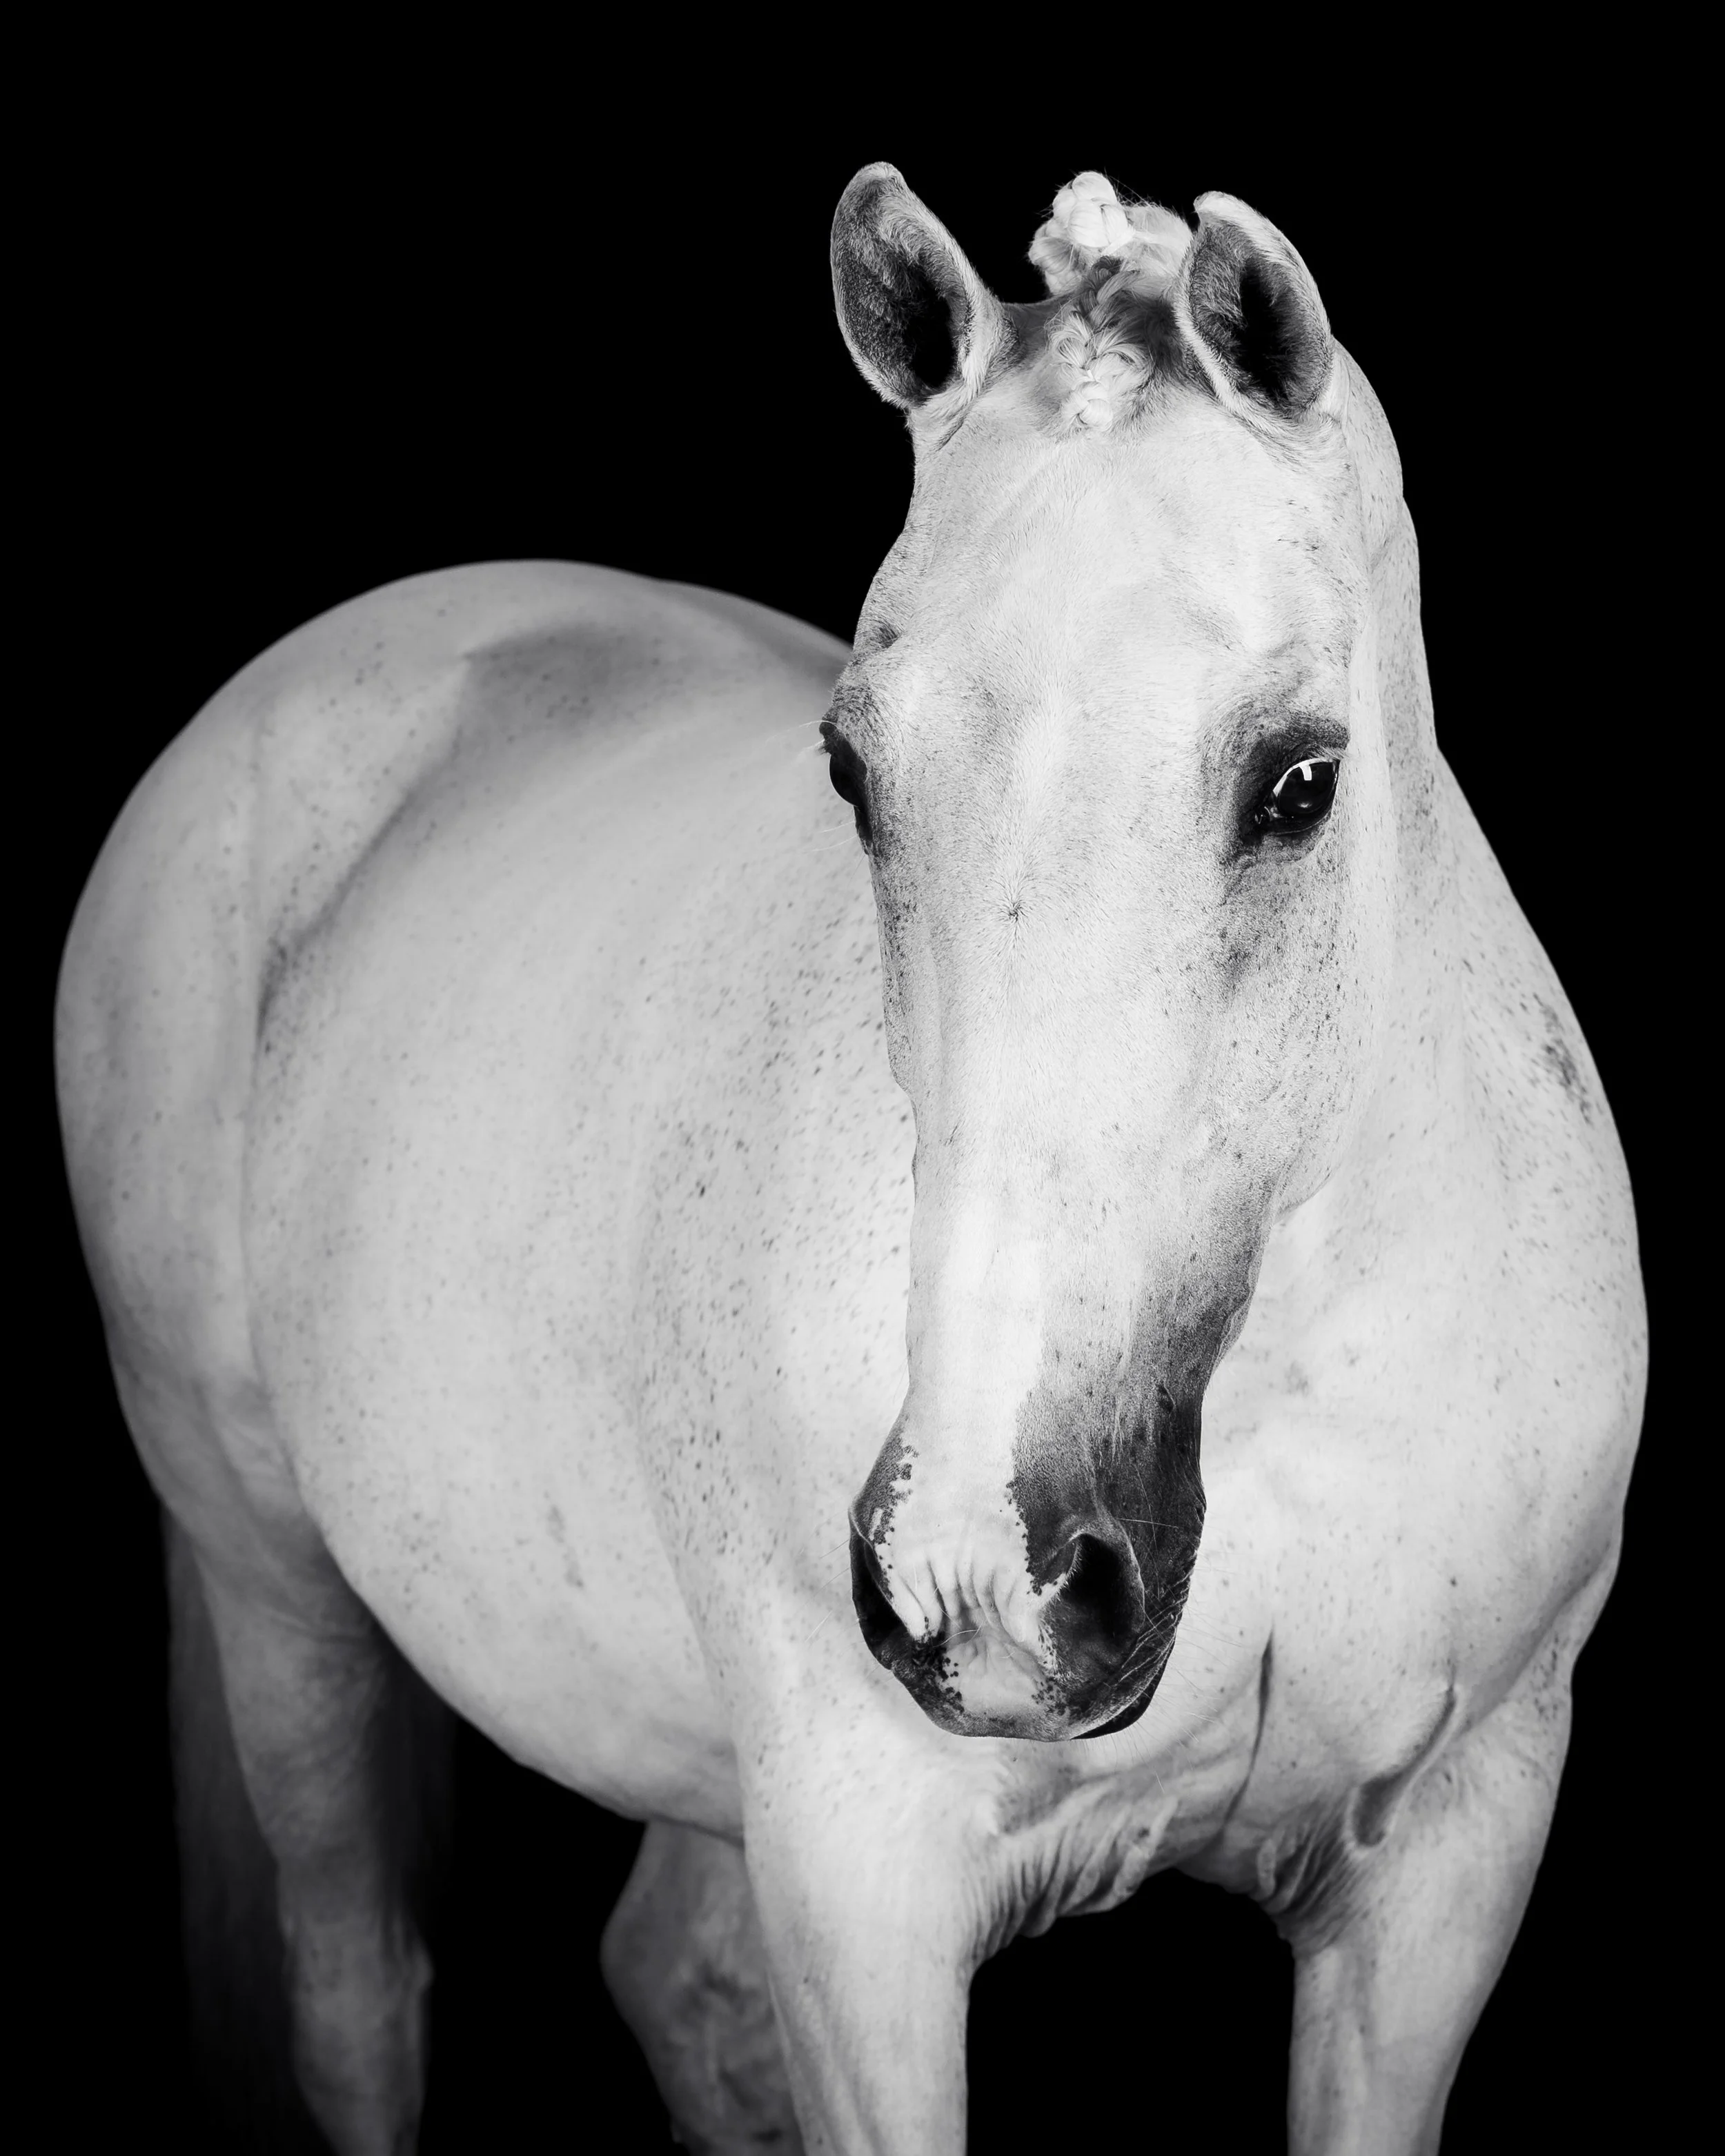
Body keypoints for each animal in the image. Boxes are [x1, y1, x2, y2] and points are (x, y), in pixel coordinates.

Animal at [55, 163, 1645, 2154]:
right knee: (359, 1995)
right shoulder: (860, 1880)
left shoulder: (1443, 1863)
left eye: (1296, 780)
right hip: (276, 1586)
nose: (985, 1580)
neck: (1281, 1398)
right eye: (851, 771)